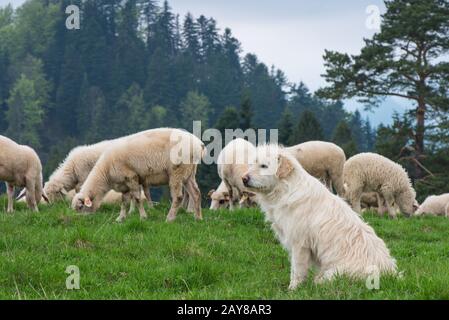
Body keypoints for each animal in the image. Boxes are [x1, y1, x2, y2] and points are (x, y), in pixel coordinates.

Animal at [71, 127, 204, 222]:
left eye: (80, 207)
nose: (80, 220)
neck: (105, 172)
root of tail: (199, 144)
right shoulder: (124, 185)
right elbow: (124, 202)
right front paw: (120, 218)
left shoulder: (131, 177)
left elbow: (137, 198)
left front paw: (143, 217)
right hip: (189, 172)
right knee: (196, 193)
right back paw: (198, 218)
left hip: (177, 171)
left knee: (178, 197)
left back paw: (169, 219)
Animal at [242, 144, 396, 288]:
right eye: (252, 164)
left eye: (264, 166)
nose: (243, 178)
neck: (286, 189)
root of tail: (388, 273)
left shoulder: (300, 244)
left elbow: (297, 270)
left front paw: (293, 289)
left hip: (333, 274)